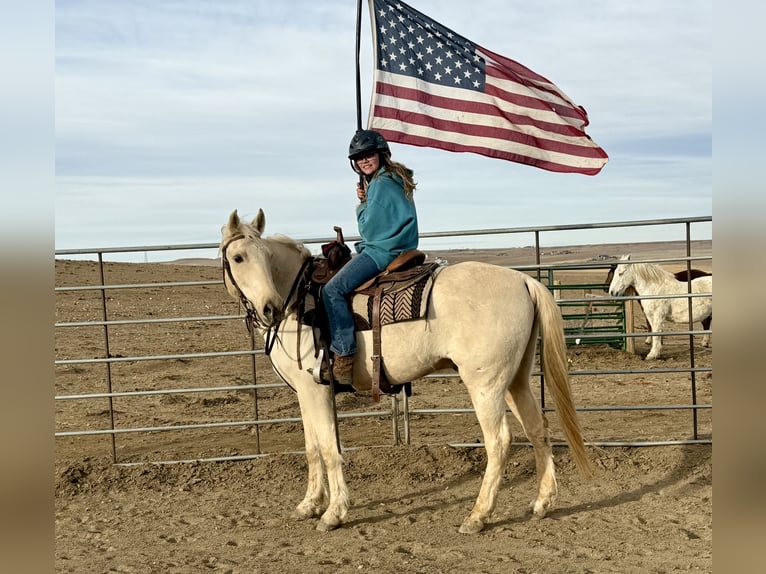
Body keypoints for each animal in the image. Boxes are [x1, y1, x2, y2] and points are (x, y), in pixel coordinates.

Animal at [222, 210, 592, 536]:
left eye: (265, 256)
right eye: (238, 258)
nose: (269, 308)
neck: (299, 302)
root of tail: (524, 279)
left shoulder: (316, 389)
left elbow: (328, 449)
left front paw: (333, 513)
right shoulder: (304, 391)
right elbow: (312, 448)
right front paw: (309, 504)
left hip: (485, 385)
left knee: (499, 442)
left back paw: (477, 516)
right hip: (515, 380)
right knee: (538, 429)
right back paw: (542, 503)